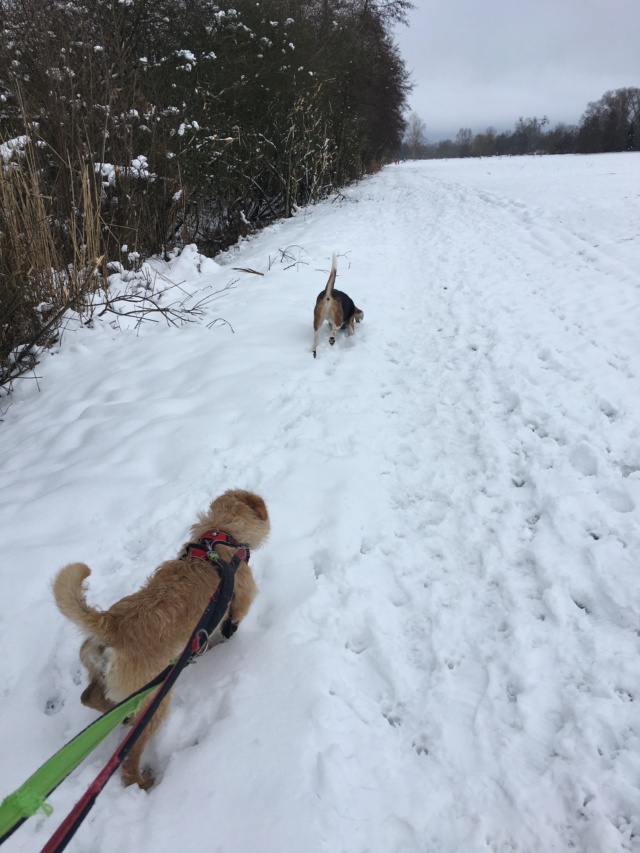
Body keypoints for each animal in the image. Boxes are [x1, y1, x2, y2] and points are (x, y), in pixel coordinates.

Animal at [52, 490, 268, 788]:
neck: (219, 536)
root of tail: (111, 624)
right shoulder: (240, 600)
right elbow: (231, 624)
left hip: (104, 675)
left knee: (90, 696)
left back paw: (118, 713)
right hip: (155, 700)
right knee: (129, 760)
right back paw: (141, 781)